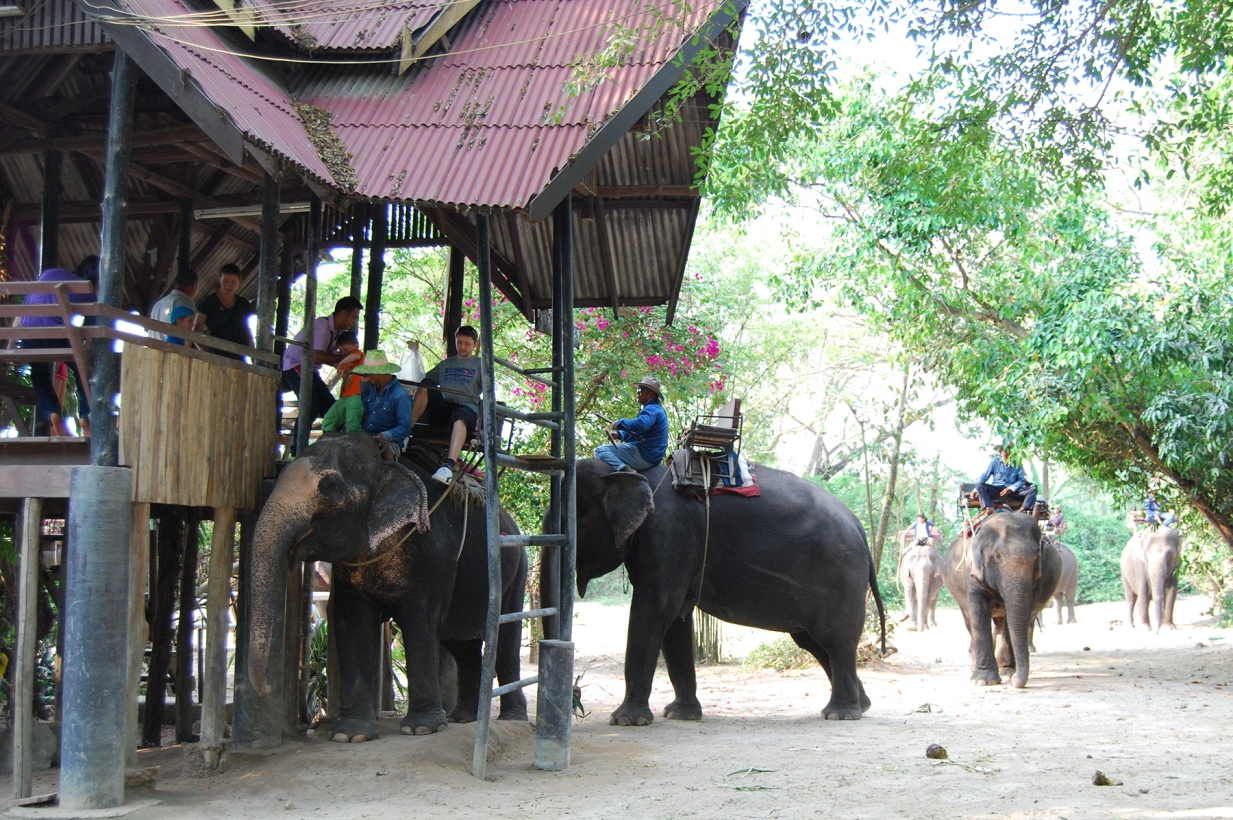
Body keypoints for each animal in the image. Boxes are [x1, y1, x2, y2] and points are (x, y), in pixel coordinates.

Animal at [248, 434, 528, 743]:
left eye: (329, 486)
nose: (266, 690)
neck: (384, 464)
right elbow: (351, 621)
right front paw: (350, 735)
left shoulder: (433, 549)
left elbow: (420, 620)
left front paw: (420, 729)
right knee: (461, 643)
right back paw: (463, 717)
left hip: (517, 571)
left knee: (504, 640)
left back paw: (512, 718)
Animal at [570, 459, 885, 726]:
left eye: (574, 514)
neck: (627, 472)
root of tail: (859, 527)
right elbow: (676, 621)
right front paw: (681, 715)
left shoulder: (668, 536)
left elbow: (655, 610)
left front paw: (626, 721)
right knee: (814, 642)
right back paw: (862, 705)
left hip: (839, 572)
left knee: (836, 641)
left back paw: (840, 714)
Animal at [940, 512, 1062, 688]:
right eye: (997, 556)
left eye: (1037, 556)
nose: (1016, 680)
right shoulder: (973, 572)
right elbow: (979, 612)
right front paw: (983, 680)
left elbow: (1011, 619)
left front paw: (1007, 674)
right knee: (970, 621)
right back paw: (974, 670)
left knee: (1000, 622)